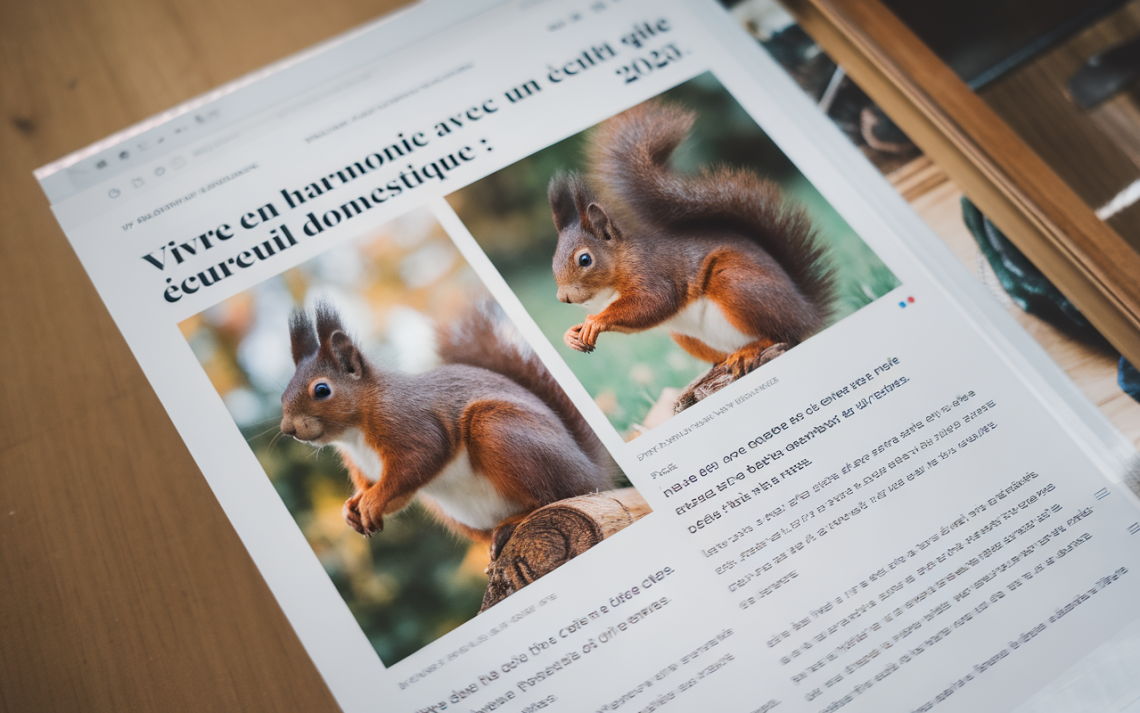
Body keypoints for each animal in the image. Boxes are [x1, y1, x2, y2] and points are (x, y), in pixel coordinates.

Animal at [280, 300, 613, 557]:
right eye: (284, 393)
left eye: (322, 390)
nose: (288, 429)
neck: (354, 434)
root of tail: (592, 472)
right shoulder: (367, 469)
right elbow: (391, 493)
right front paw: (352, 508)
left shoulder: (409, 423)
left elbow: (418, 460)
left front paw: (372, 501)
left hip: (498, 429)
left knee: (554, 495)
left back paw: (515, 522)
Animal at [549, 99, 836, 384]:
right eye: (553, 261)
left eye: (585, 259)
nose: (563, 298)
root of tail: (806, 312)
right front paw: (571, 334)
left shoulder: (652, 272)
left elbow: (654, 301)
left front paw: (595, 321)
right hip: (686, 334)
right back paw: (721, 363)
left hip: (738, 285)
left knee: (782, 334)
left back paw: (751, 350)